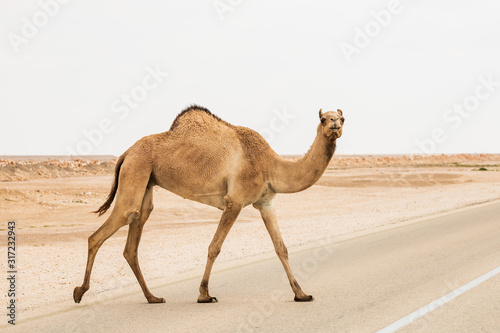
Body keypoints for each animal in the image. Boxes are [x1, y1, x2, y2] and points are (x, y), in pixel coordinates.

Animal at [73, 104, 344, 304]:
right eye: (323, 119)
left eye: (343, 117)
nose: (335, 124)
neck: (270, 164)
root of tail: (126, 152)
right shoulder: (235, 201)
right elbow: (215, 247)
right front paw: (204, 294)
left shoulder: (266, 203)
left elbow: (281, 248)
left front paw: (301, 293)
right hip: (136, 169)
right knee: (103, 232)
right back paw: (79, 292)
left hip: (145, 181)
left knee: (134, 236)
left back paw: (152, 297)